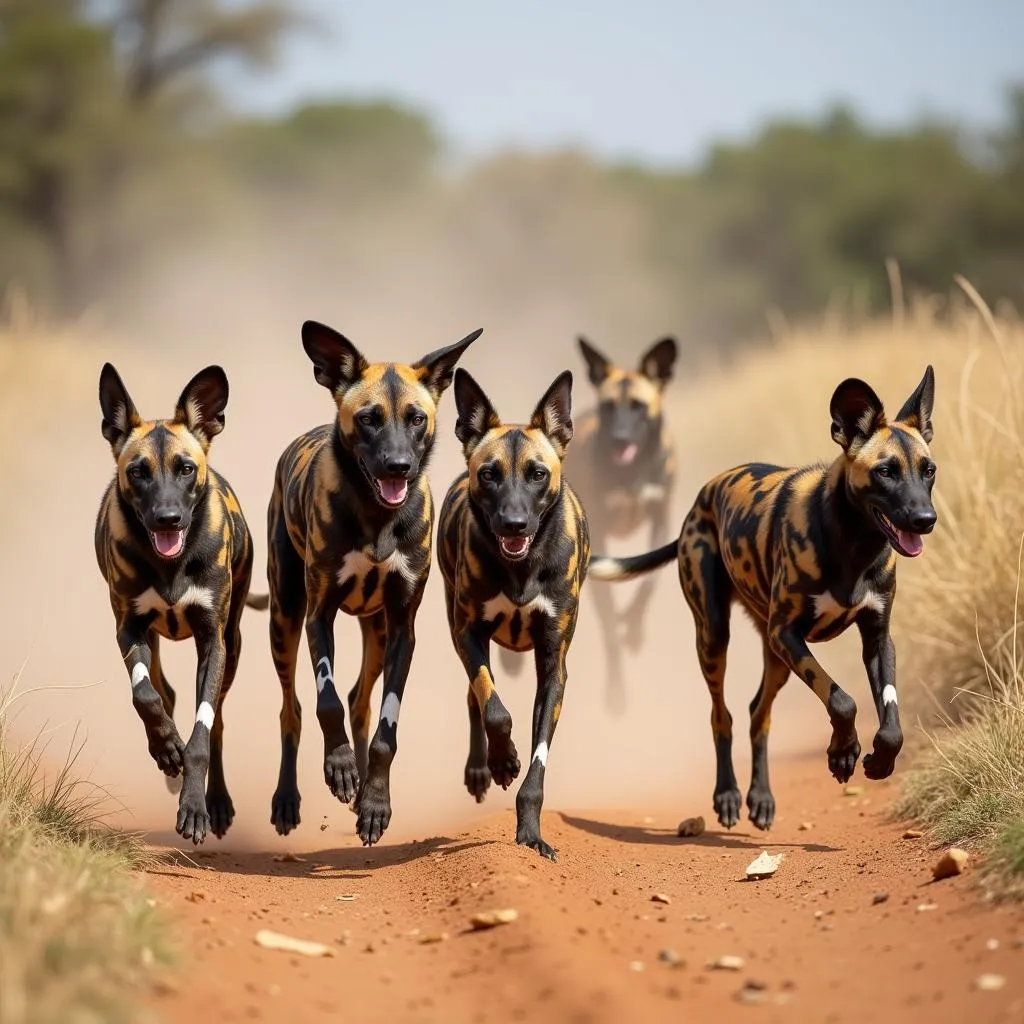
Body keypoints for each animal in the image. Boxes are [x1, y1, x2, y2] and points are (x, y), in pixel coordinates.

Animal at [94, 364, 266, 843]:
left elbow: (202, 736)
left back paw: (217, 801)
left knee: (217, 721)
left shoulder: (212, 641)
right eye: (138, 472)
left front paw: (196, 805)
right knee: (163, 690)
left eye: (185, 468)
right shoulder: (129, 629)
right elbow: (145, 697)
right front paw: (166, 746)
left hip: (232, 648)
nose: (167, 518)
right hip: (154, 641)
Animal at [268, 319, 483, 847]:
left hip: (378, 631)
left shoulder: (403, 630)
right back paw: (287, 799)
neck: (376, 517)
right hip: (284, 622)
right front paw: (341, 766)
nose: (398, 466)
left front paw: (375, 801)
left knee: (359, 702)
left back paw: (364, 788)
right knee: (293, 709)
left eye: (416, 419)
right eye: (369, 418)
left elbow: (386, 730)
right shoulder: (317, 617)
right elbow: (324, 703)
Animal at [497, 335, 679, 712]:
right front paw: (616, 693)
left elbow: (647, 584)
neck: (631, 472)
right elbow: (608, 622)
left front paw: (634, 629)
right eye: (608, 406)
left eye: (638, 406)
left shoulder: (661, 517)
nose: (619, 438)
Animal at [679, 368, 937, 831]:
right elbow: (842, 699)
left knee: (757, 715)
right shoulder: (788, 635)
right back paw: (727, 795)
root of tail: (704, 492)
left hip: (776, 659)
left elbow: (891, 724)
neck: (854, 547)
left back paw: (761, 798)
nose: (926, 520)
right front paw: (842, 754)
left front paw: (878, 760)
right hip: (715, 638)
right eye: (886, 471)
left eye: (929, 471)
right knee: (722, 715)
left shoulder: (876, 639)